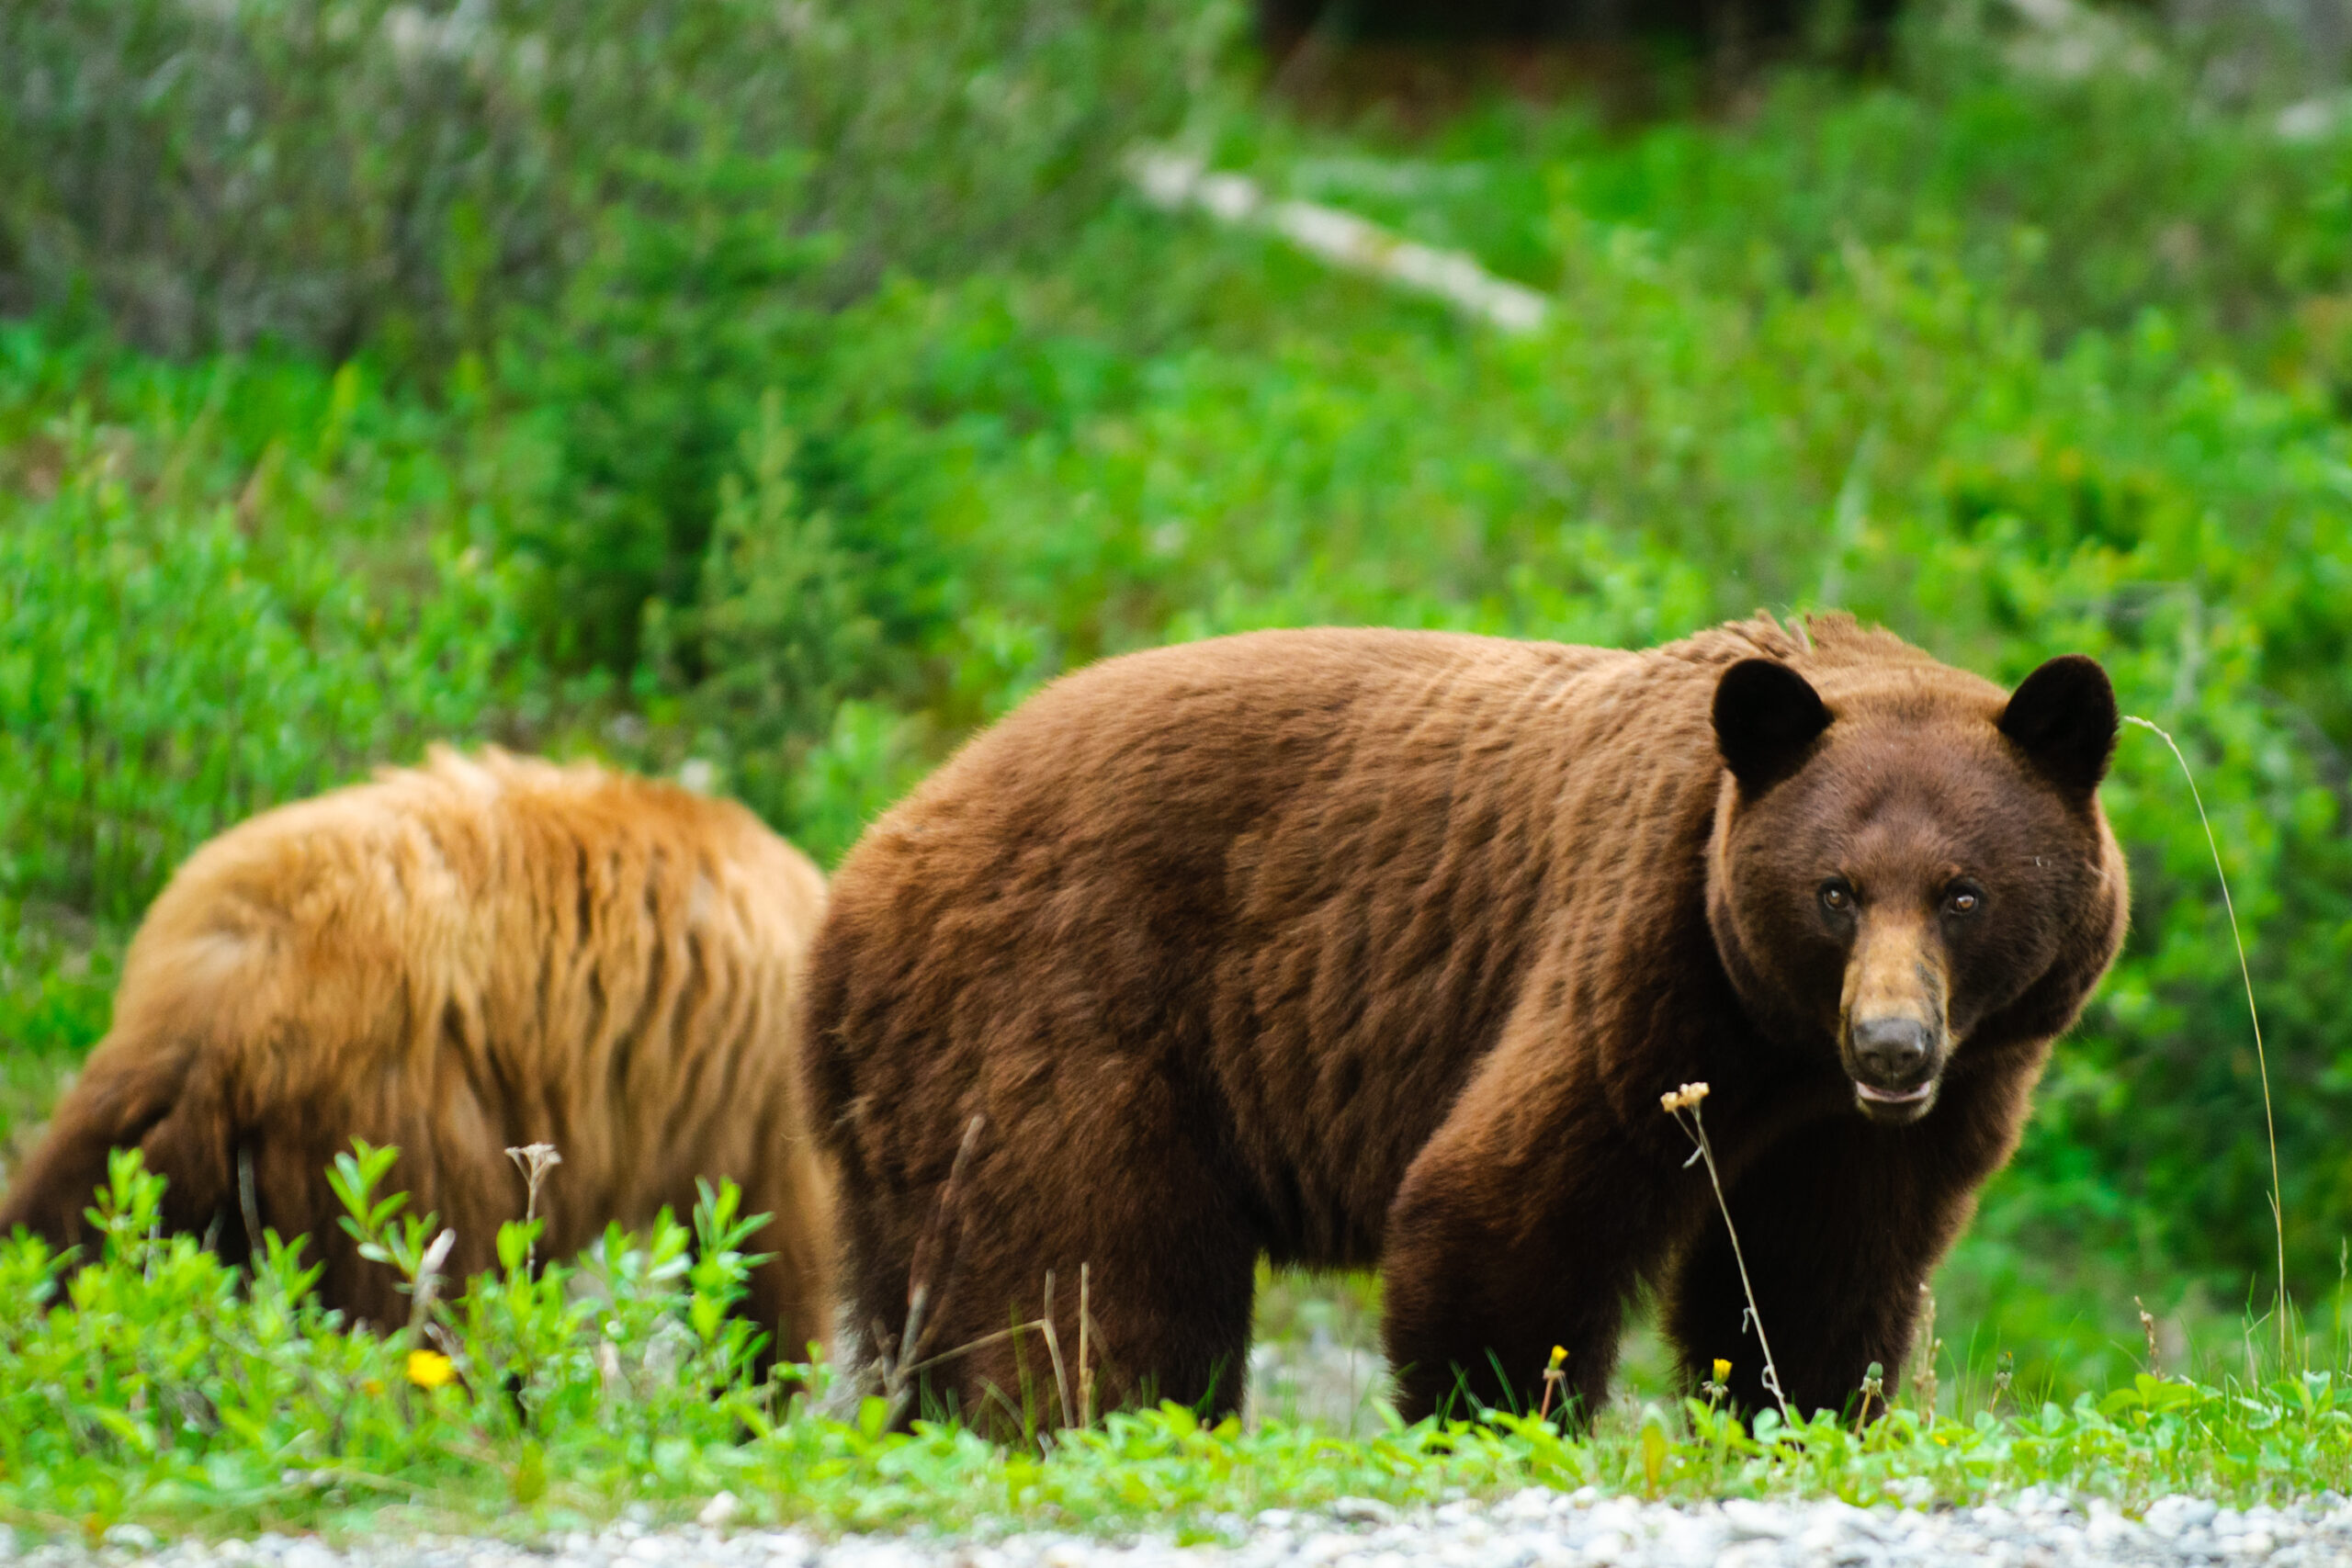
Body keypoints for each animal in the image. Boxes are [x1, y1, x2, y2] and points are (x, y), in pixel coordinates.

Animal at [0, 746, 835, 1366]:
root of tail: (226, 997)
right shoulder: (759, 1100)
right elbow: (772, 1262)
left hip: (160, 1120)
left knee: (63, 1221)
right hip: (401, 1121)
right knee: (423, 1290)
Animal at [802, 615, 2127, 1426]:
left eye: (1963, 892)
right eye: (1835, 891)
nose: (1892, 1046)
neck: (1782, 1042)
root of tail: (861, 872)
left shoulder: (1899, 1110)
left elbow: (1819, 1273)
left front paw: (1796, 1412)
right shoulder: (1642, 956)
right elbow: (1508, 1200)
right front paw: (1497, 1410)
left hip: (921, 1102)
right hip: (1058, 1013)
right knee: (1094, 1278)